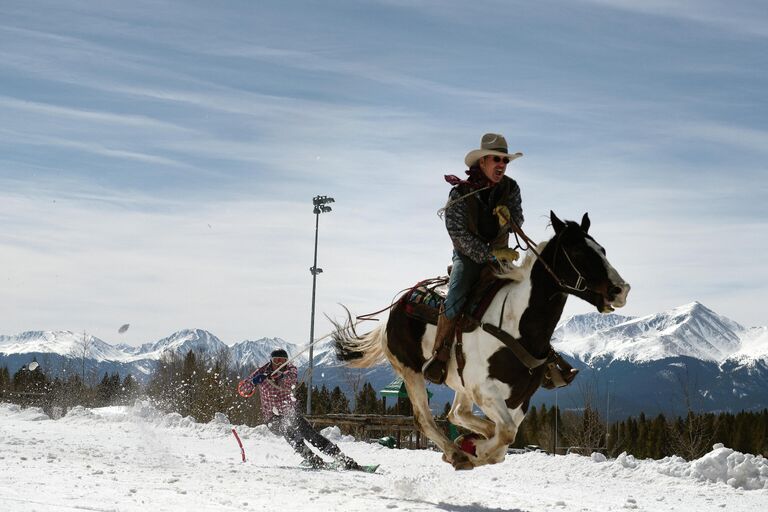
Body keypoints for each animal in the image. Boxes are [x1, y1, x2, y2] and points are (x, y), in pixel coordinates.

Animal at [332, 211, 628, 468]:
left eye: (602, 250)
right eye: (578, 252)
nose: (621, 290)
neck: (517, 323)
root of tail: (391, 315)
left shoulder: (520, 397)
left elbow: (507, 435)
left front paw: (476, 445)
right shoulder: (484, 389)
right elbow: (506, 433)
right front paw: (477, 449)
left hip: (459, 382)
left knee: (457, 413)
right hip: (412, 372)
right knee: (425, 419)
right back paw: (456, 452)